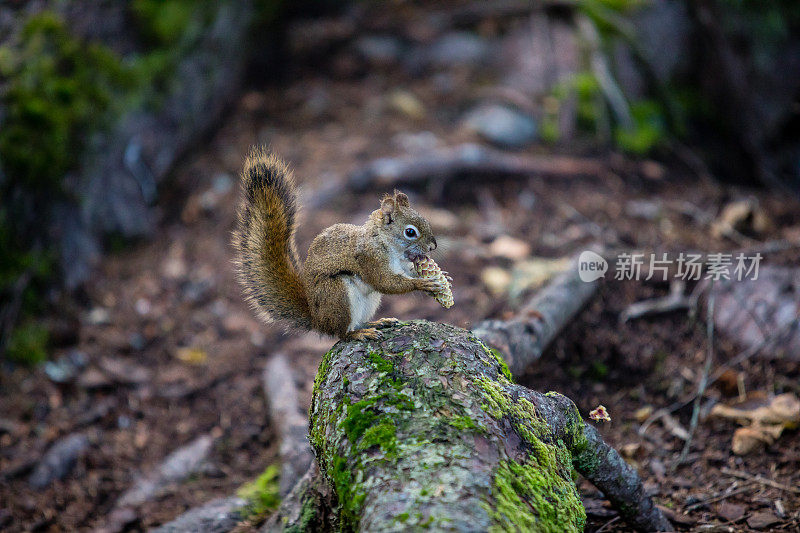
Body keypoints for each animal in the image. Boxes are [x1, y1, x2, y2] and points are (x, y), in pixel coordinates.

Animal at [231, 145, 446, 338]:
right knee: (342, 333)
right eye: (410, 232)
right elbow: (385, 282)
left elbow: (405, 272)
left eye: (425, 220)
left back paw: (376, 323)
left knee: (357, 323)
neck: (385, 243)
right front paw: (423, 284)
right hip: (337, 295)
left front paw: (438, 276)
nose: (433, 246)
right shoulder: (369, 259)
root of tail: (318, 320)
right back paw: (359, 334)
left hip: (369, 301)